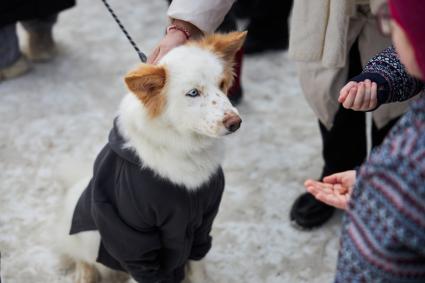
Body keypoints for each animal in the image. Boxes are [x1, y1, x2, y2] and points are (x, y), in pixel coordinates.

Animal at [53, 31, 245, 283]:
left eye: (222, 84)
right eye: (193, 93)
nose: (235, 122)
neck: (183, 147)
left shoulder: (203, 222)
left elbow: (198, 266)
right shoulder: (134, 238)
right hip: (89, 233)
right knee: (81, 257)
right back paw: (84, 274)